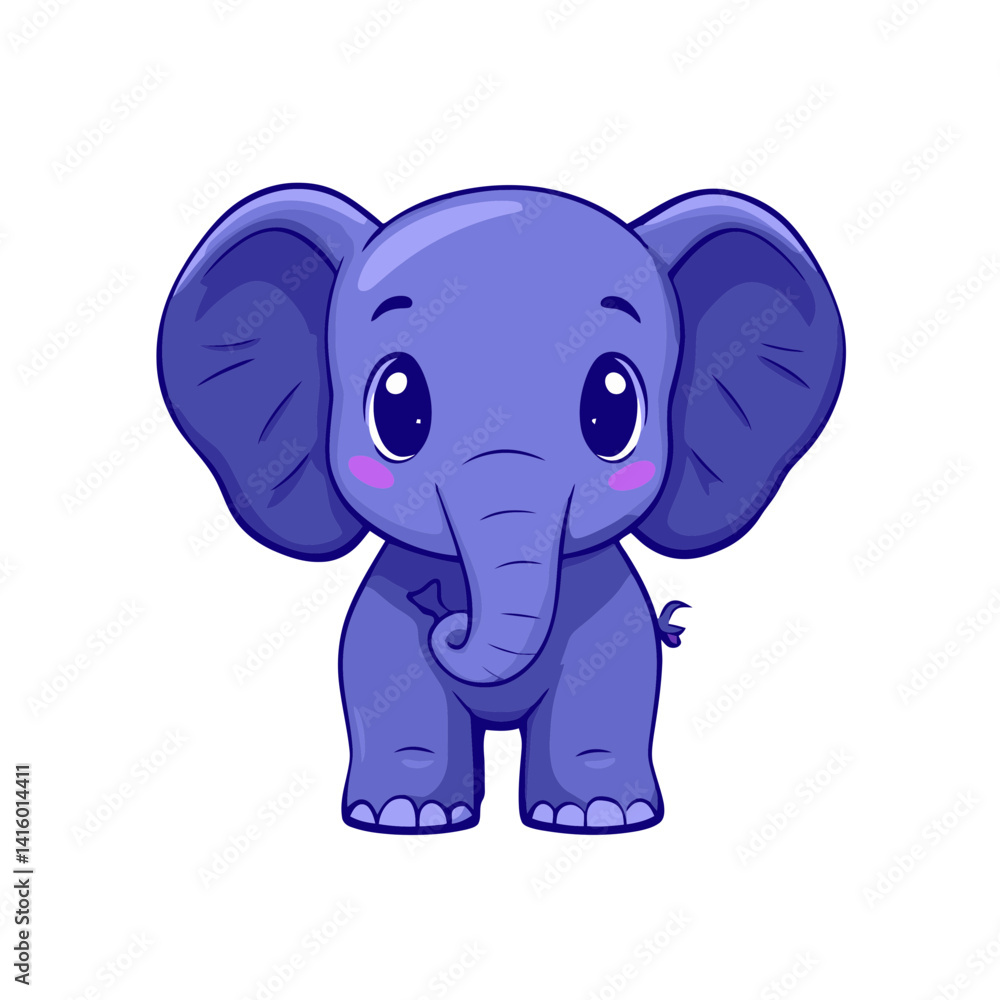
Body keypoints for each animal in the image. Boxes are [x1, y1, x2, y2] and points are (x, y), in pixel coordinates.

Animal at [158, 183, 844, 834]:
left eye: (613, 408)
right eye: (397, 408)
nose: (447, 619)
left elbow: (615, 683)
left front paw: (598, 818)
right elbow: (380, 677)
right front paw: (405, 817)